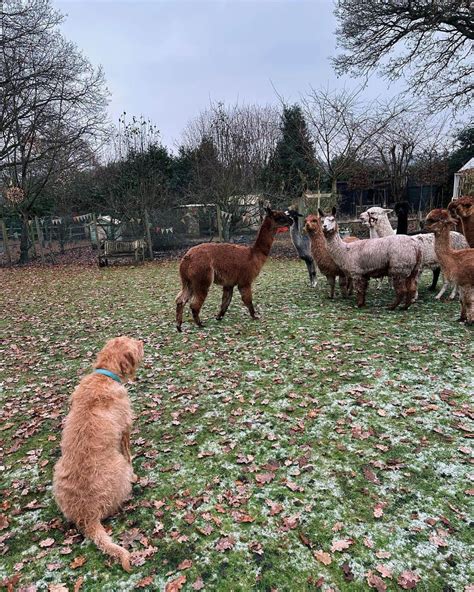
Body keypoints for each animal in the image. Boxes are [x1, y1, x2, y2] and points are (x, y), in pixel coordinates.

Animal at [52, 336, 143, 572]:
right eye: (133, 343)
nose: (142, 341)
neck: (105, 374)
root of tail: (87, 517)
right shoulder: (125, 429)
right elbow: (129, 454)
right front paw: (135, 474)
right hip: (118, 468)